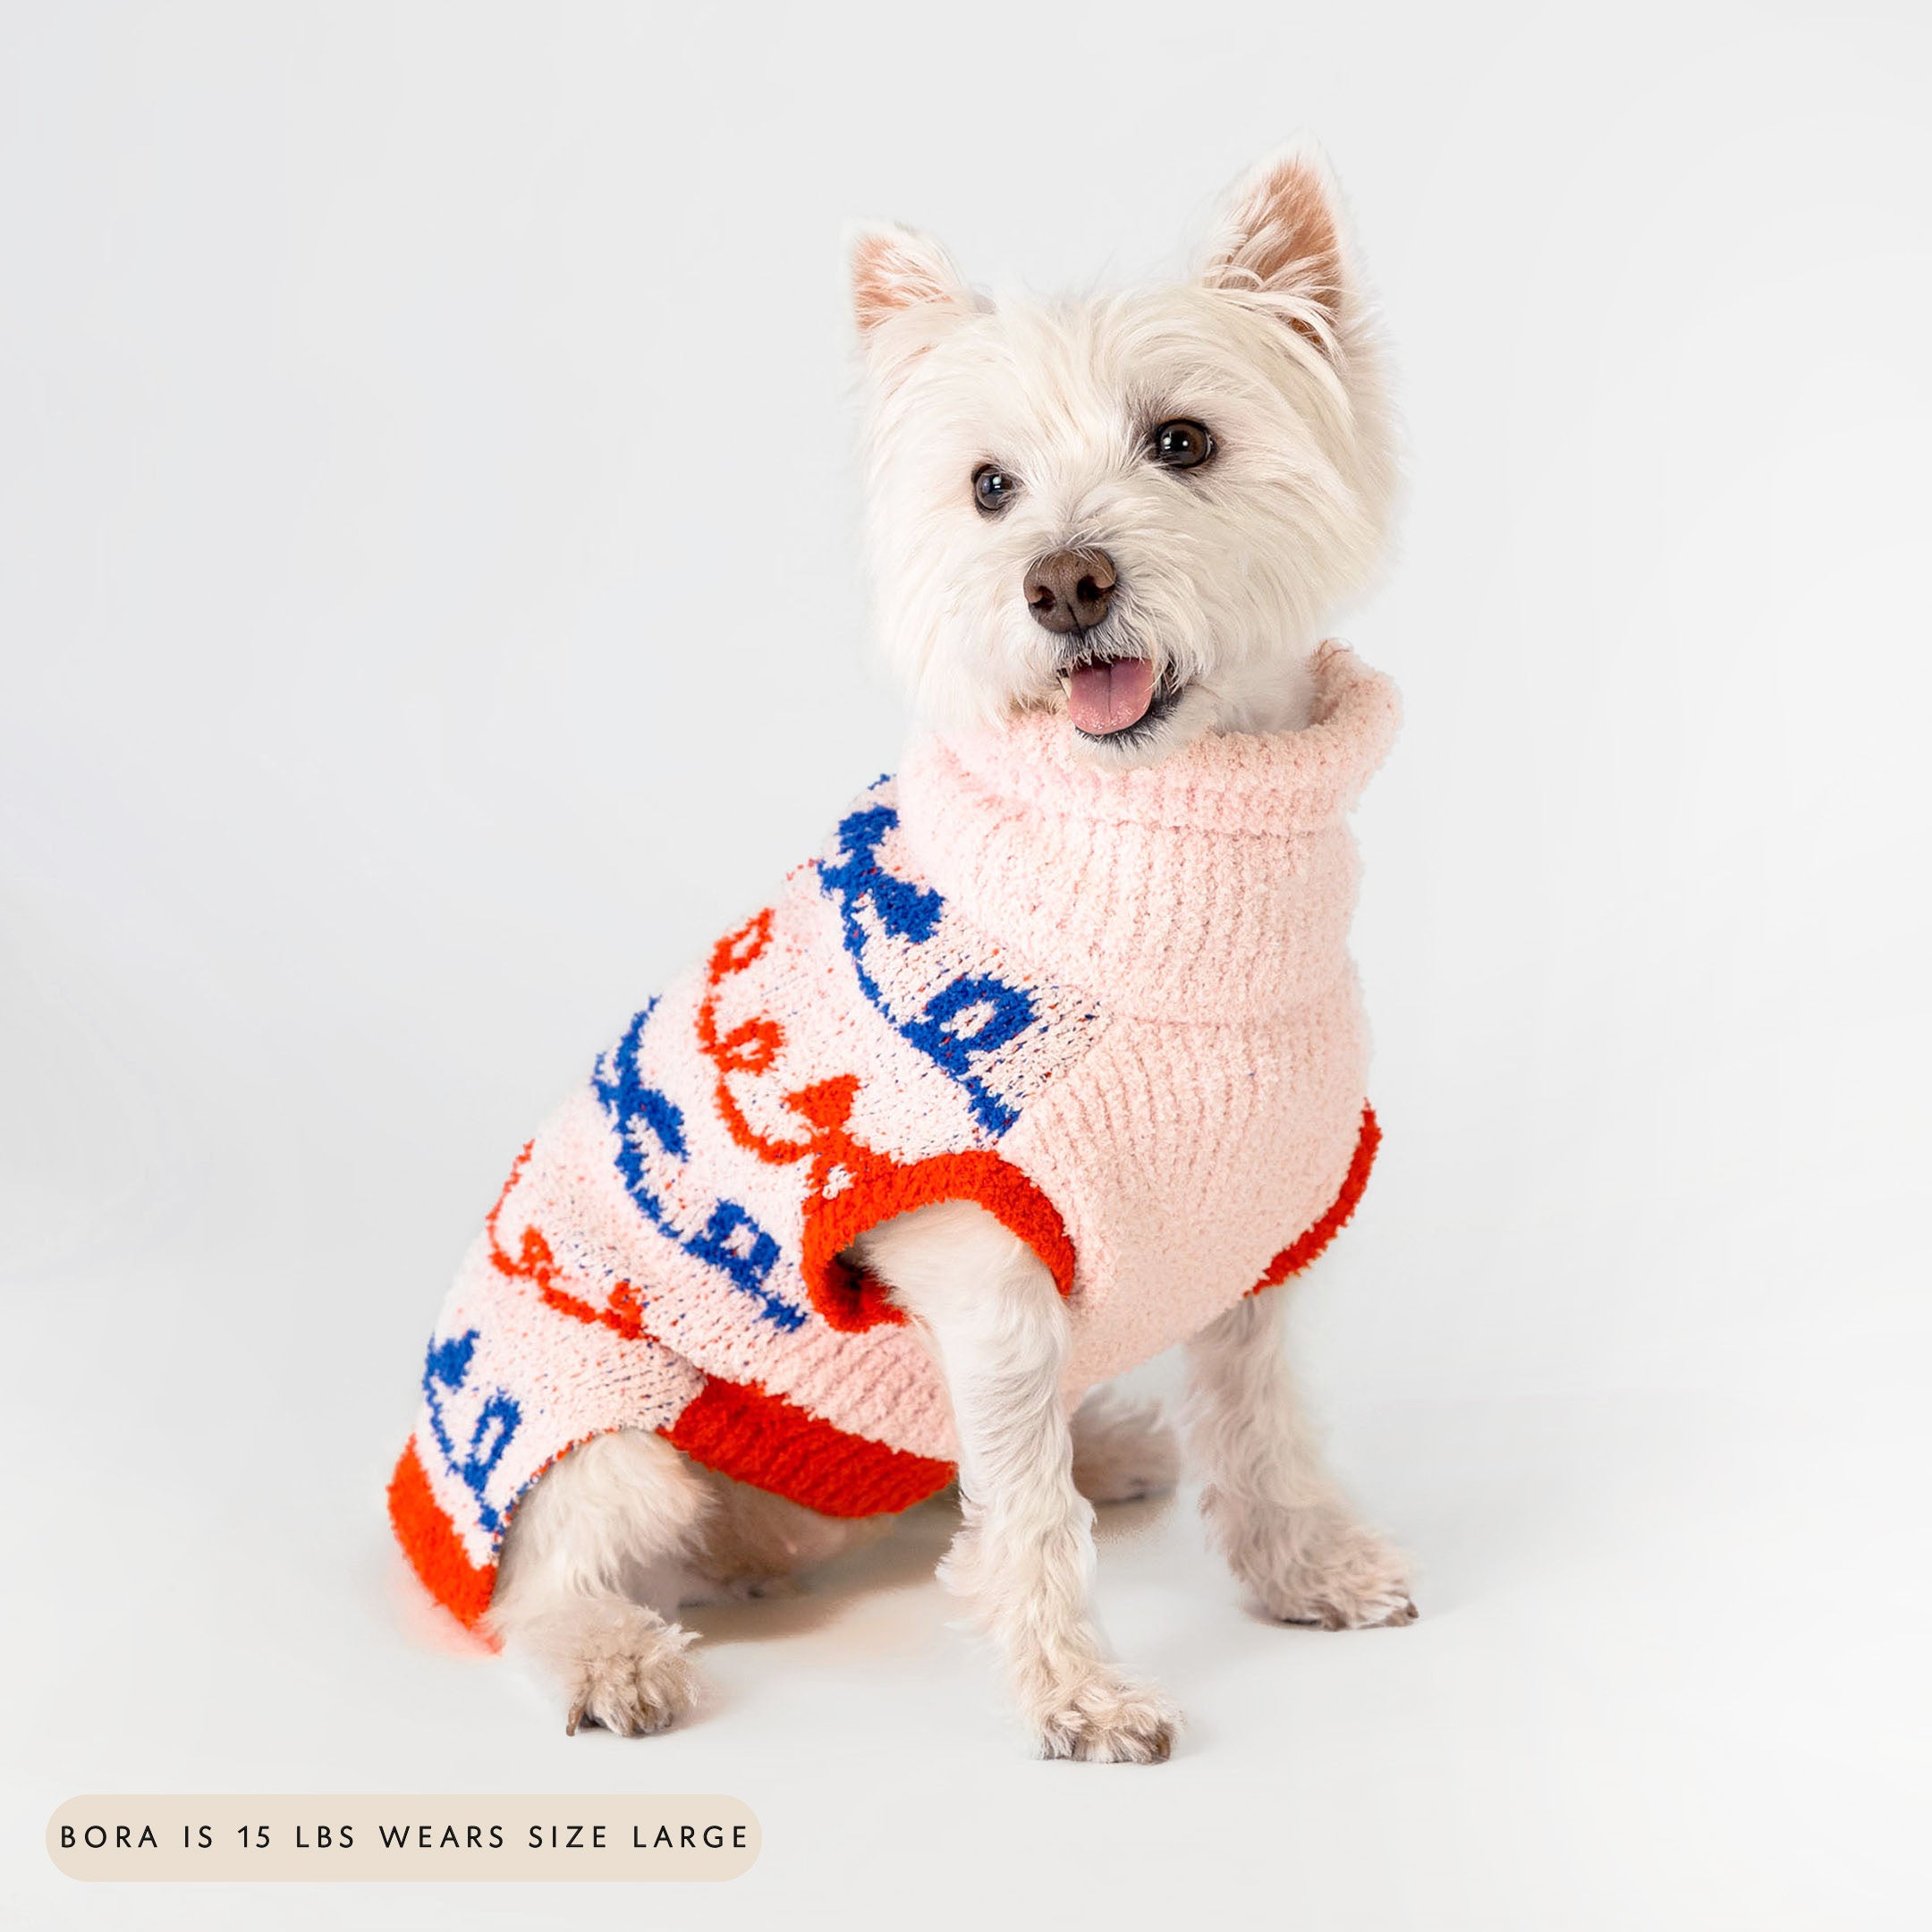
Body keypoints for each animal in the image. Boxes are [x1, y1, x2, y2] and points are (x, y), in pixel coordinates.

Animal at [395, 142, 1421, 1761]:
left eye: (1184, 440)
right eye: (989, 487)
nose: (1064, 582)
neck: (1167, 867)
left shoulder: (1263, 1223)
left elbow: (1263, 1427)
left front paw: (1304, 1567)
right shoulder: (981, 1272)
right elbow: (1029, 1518)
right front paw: (1077, 1696)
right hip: (604, 1417)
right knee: (528, 1580)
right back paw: (614, 1657)